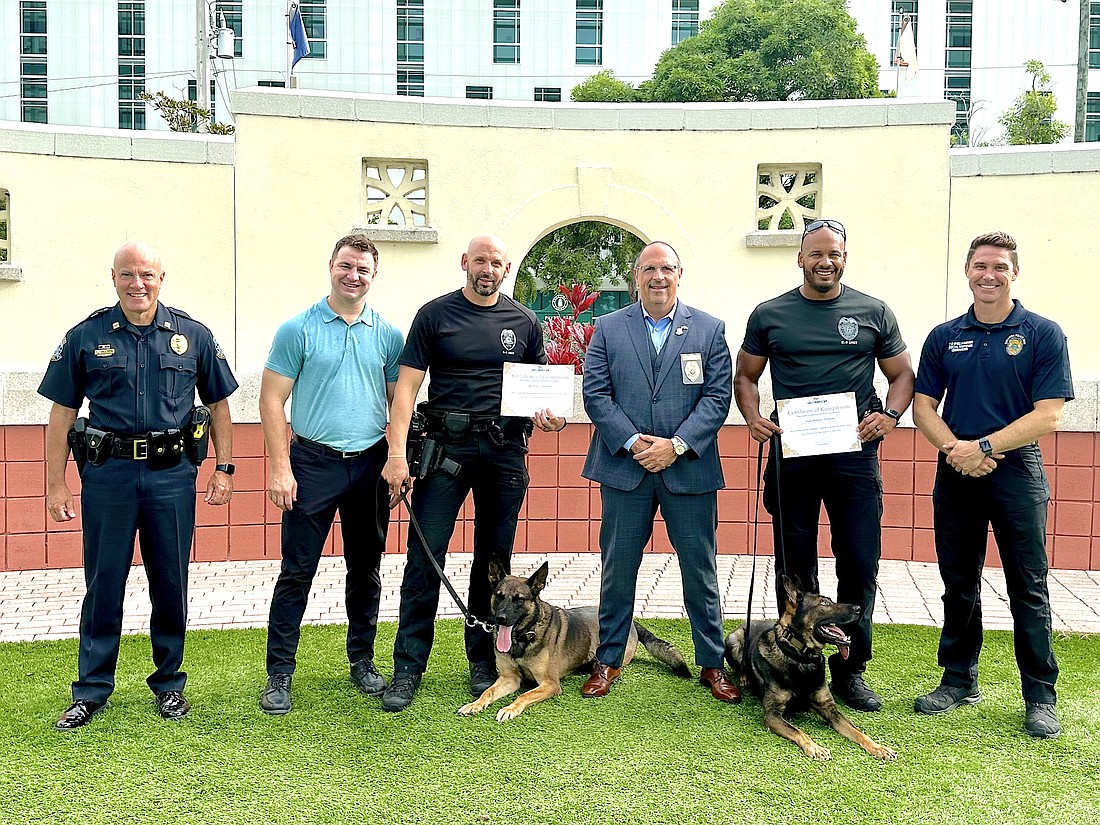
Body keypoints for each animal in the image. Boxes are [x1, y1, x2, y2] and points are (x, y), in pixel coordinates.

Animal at [459, 563, 690, 721]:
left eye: (519, 599)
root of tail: (632, 622)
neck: (523, 637)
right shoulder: (510, 678)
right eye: (499, 595)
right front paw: (474, 704)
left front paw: (509, 708)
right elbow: (488, 691)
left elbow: (524, 695)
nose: (501, 619)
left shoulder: (550, 684)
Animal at [726, 576, 897, 761]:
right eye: (824, 603)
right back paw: (744, 678)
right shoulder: (772, 715)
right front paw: (816, 747)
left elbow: (858, 732)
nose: (859, 608)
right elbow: (799, 731)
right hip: (733, 641)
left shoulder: (830, 709)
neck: (801, 658)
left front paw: (879, 747)